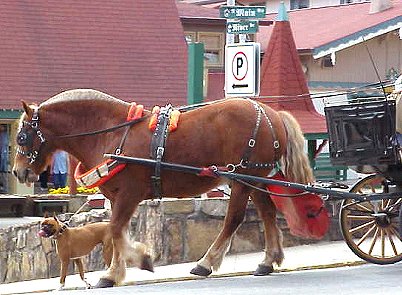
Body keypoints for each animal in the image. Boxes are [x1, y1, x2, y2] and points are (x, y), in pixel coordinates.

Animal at [11, 89, 314, 288]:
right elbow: (116, 232)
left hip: (242, 178)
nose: (18, 171)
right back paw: (268, 260)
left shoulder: (129, 194)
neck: (111, 132)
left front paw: (131, 264)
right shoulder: (116, 197)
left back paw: (207, 262)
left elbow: (116, 230)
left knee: (234, 219)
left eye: (22, 136)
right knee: (267, 213)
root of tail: (271, 113)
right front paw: (119, 269)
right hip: (256, 179)